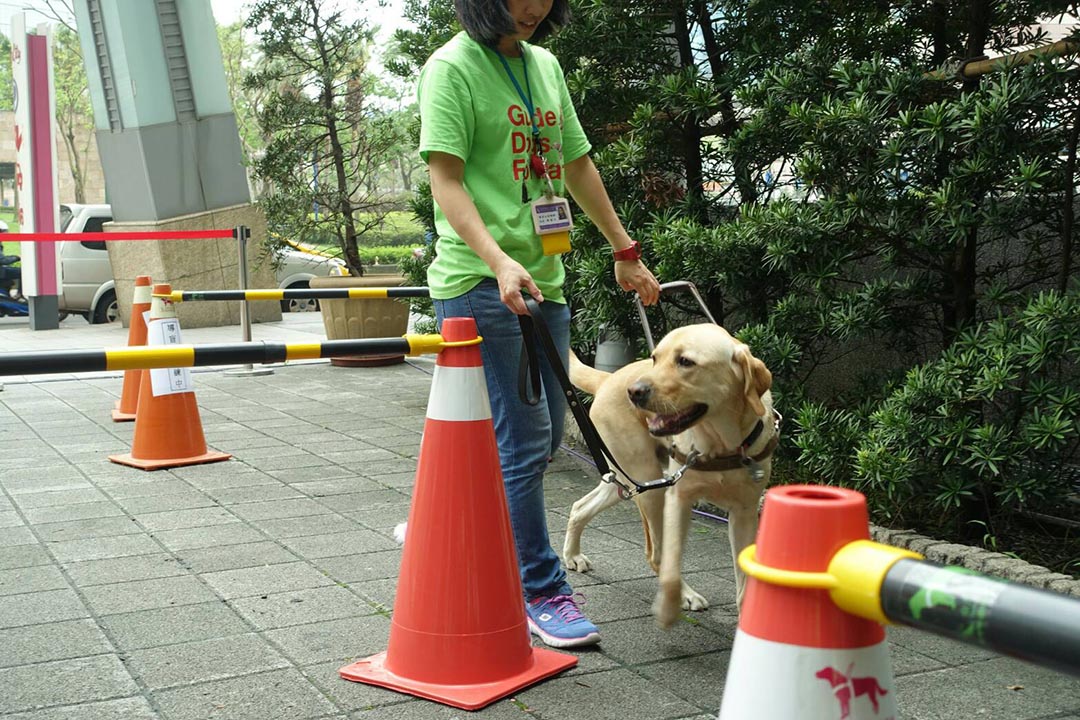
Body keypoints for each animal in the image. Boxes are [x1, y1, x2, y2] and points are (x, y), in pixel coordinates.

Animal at [565, 323, 777, 626]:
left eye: (685, 361)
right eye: (655, 358)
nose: (634, 392)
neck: (720, 446)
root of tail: (609, 378)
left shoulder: (745, 513)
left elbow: (745, 580)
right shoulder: (679, 499)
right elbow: (672, 564)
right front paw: (669, 605)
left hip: (629, 481)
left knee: (581, 506)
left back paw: (572, 555)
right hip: (649, 485)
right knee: (658, 555)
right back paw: (685, 595)